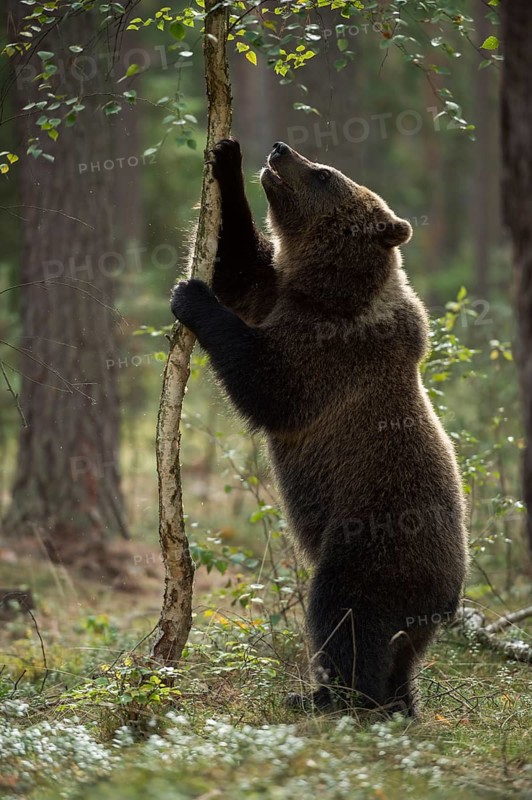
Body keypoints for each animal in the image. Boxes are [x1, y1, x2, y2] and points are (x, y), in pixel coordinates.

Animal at [171, 139, 469, 717]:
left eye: (326, 174)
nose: (281, 149)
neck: (328, 291)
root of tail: (448, 602)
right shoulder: (275, 293)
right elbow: (238, 266)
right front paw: (226, 157)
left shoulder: (333, 354)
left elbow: (269, 384)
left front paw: (191, 295)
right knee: (399, 654)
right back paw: (398, 701)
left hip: (373, 543)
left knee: (345, 615)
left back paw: (327, 697)